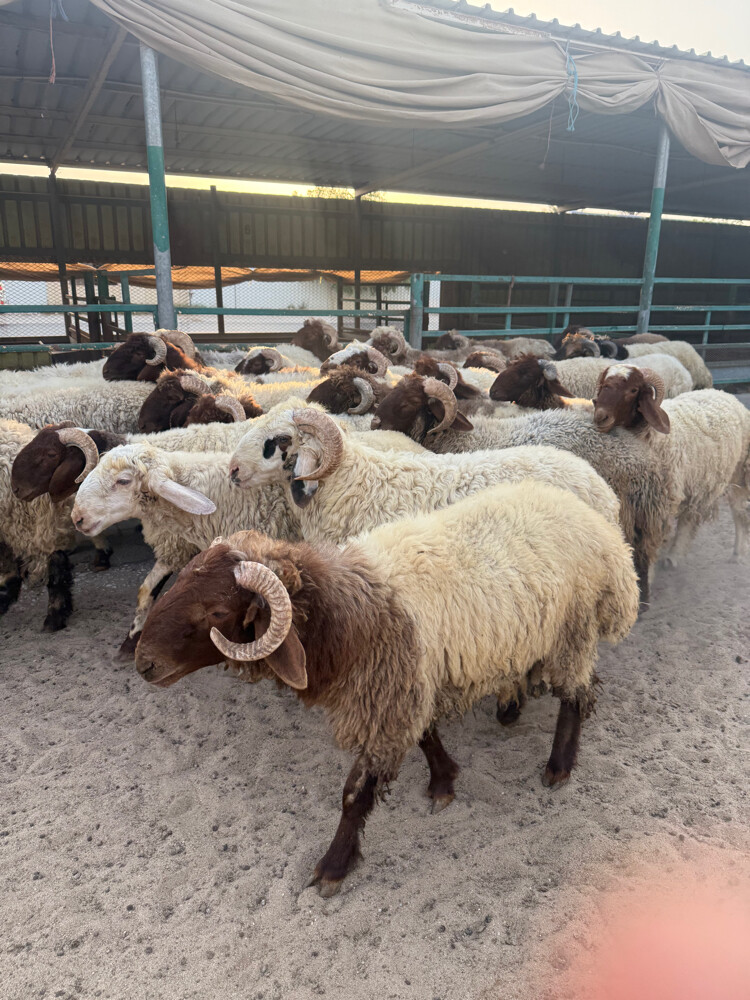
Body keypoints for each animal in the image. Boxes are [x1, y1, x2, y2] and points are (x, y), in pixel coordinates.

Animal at [134, 480, 639, 894]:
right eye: (177, 586)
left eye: (217, 612)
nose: (143, 663)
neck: (346, 615)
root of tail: (605, 534)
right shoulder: (408, 686)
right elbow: (426, 735)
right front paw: (443, 782)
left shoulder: (389, 696)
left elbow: (354, 793)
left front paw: (333, 868)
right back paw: (512, 706)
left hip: (573, 631)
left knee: (578, 694)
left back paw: (558, 767)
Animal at [593, 366, 750, 564]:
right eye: (604, 385)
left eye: (633, 390)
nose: (600, 417)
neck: (653, 436)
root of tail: (724, 393)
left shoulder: (662, 498)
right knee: (689, 517)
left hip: (739, 473)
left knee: (738, 512)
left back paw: (736, 553)